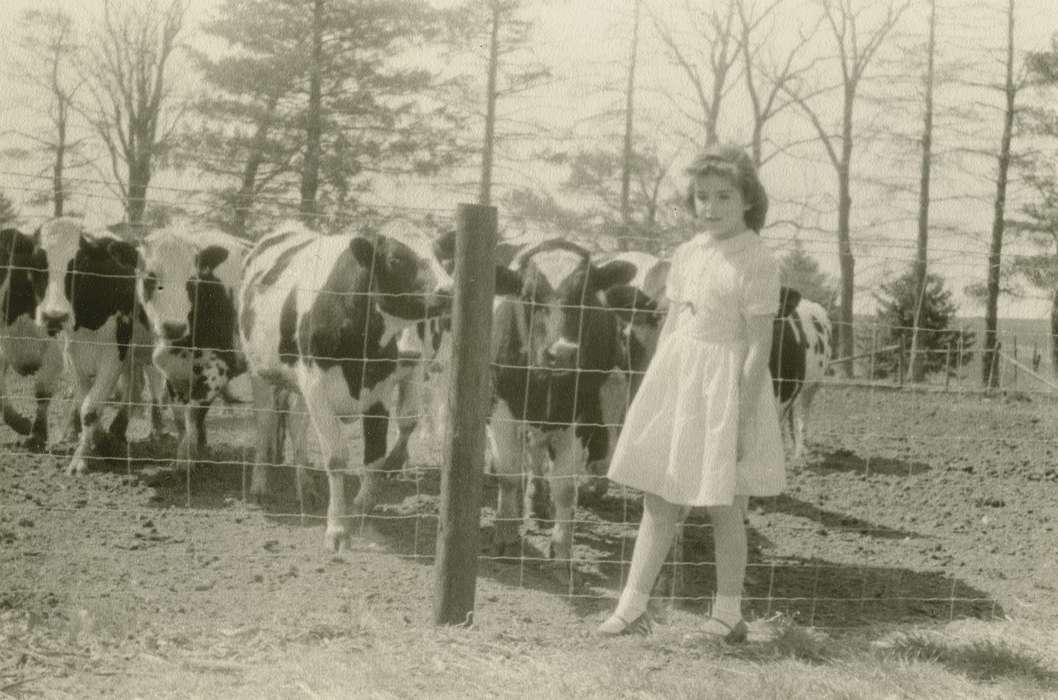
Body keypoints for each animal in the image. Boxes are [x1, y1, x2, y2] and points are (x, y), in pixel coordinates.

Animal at [32, 216, 163, 473]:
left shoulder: (114, 355)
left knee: (154, 388)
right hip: (134, 357)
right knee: (135, 387)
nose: (54, 316)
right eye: (39, 263)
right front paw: (97, 443)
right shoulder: (74, 354)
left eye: (79, 263)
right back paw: (118, 431)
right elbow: (85, 401)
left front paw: (80, 460)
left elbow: (90, 409)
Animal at [134, 227, 251, 473]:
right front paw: (188, 453)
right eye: (150, 277)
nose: (174, 327)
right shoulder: (172, 371)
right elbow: (180, 415)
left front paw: (186, 461)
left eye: (192, 280)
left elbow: (193, 413)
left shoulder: (219, 368)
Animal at [238, 219, 452, 554]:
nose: (447, 290)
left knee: (297, 425)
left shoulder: (379, 391)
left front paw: (362, 512)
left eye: (441, 257)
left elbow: (376, 457)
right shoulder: (315, 384)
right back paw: (260, 487)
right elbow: (336, 457)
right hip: (260, 370)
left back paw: (306, 488)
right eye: (395, 260)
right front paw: (337, 529)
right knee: (266, 424)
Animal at [488, 238, 634, 579]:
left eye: (585, 296)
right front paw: (506, 536)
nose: (563, 352)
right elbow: (509, 475)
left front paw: (562, 553)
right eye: (528, 296)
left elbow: (566, 489)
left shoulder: (579, 416)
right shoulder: (502, 406)